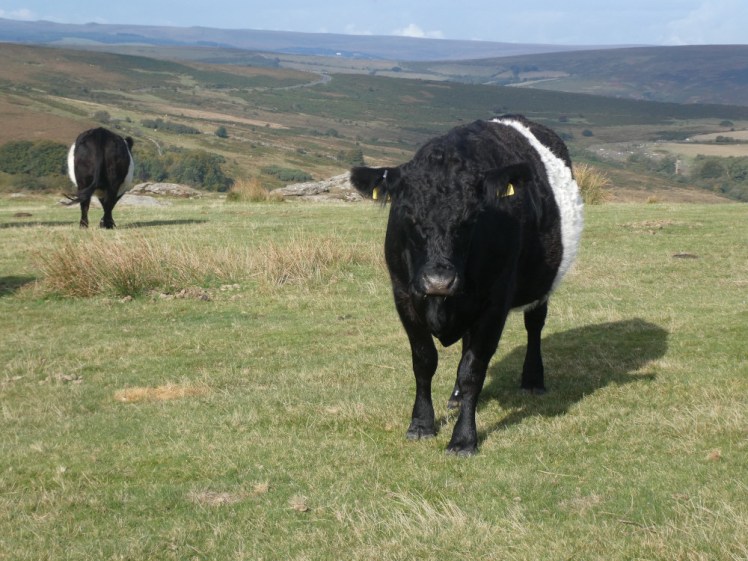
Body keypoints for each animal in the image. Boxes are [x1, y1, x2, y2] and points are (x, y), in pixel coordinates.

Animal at [350, 115, 584, 455]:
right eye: (407, 214)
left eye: (471, 218)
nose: (439, 281)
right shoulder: (403, 294)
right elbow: (424, 360)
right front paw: (421, 424)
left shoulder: (495, 302)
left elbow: (474, 369)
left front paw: (463, 439)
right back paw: (455, 397)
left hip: (541, 284)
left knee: (534, 325)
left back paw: (532, 380)